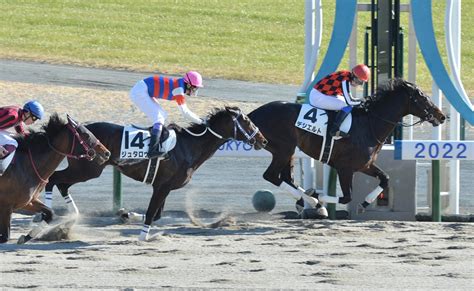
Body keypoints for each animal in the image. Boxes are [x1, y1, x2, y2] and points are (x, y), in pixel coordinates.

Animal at [0, 114, 110, 244]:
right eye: (86, 134)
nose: (106, 153)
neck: (28, 165)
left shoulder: (27, 201)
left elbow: (50, 213)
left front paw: (27, 236)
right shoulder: (7, 206)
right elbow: (5, 238)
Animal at [44, 106, 266, 241]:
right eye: (247, 120)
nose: (263, 140)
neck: (189, 146)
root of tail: (73, 130)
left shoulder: (163, 186)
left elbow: (156, 214)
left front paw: (126, 214)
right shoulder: (163, 186)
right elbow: (152, 213)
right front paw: (143, 236)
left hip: (83, 169)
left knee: (61, 184)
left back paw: (72, 216)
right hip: (86, 168)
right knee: (53, 179)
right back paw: (47, 215)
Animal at [250, 78, 446, 214]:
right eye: (422, 97)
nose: (442, 116)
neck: (370, 124)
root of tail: (255, 114)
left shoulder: (364, 165)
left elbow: (385, 179)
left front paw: (365, 202)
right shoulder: (344, 168)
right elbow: (346, 197)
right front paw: (320, 198)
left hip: (288, 152)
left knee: (287, 178)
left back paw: (308, 200)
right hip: (283, 150)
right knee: (271, 176)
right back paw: (313, 201)